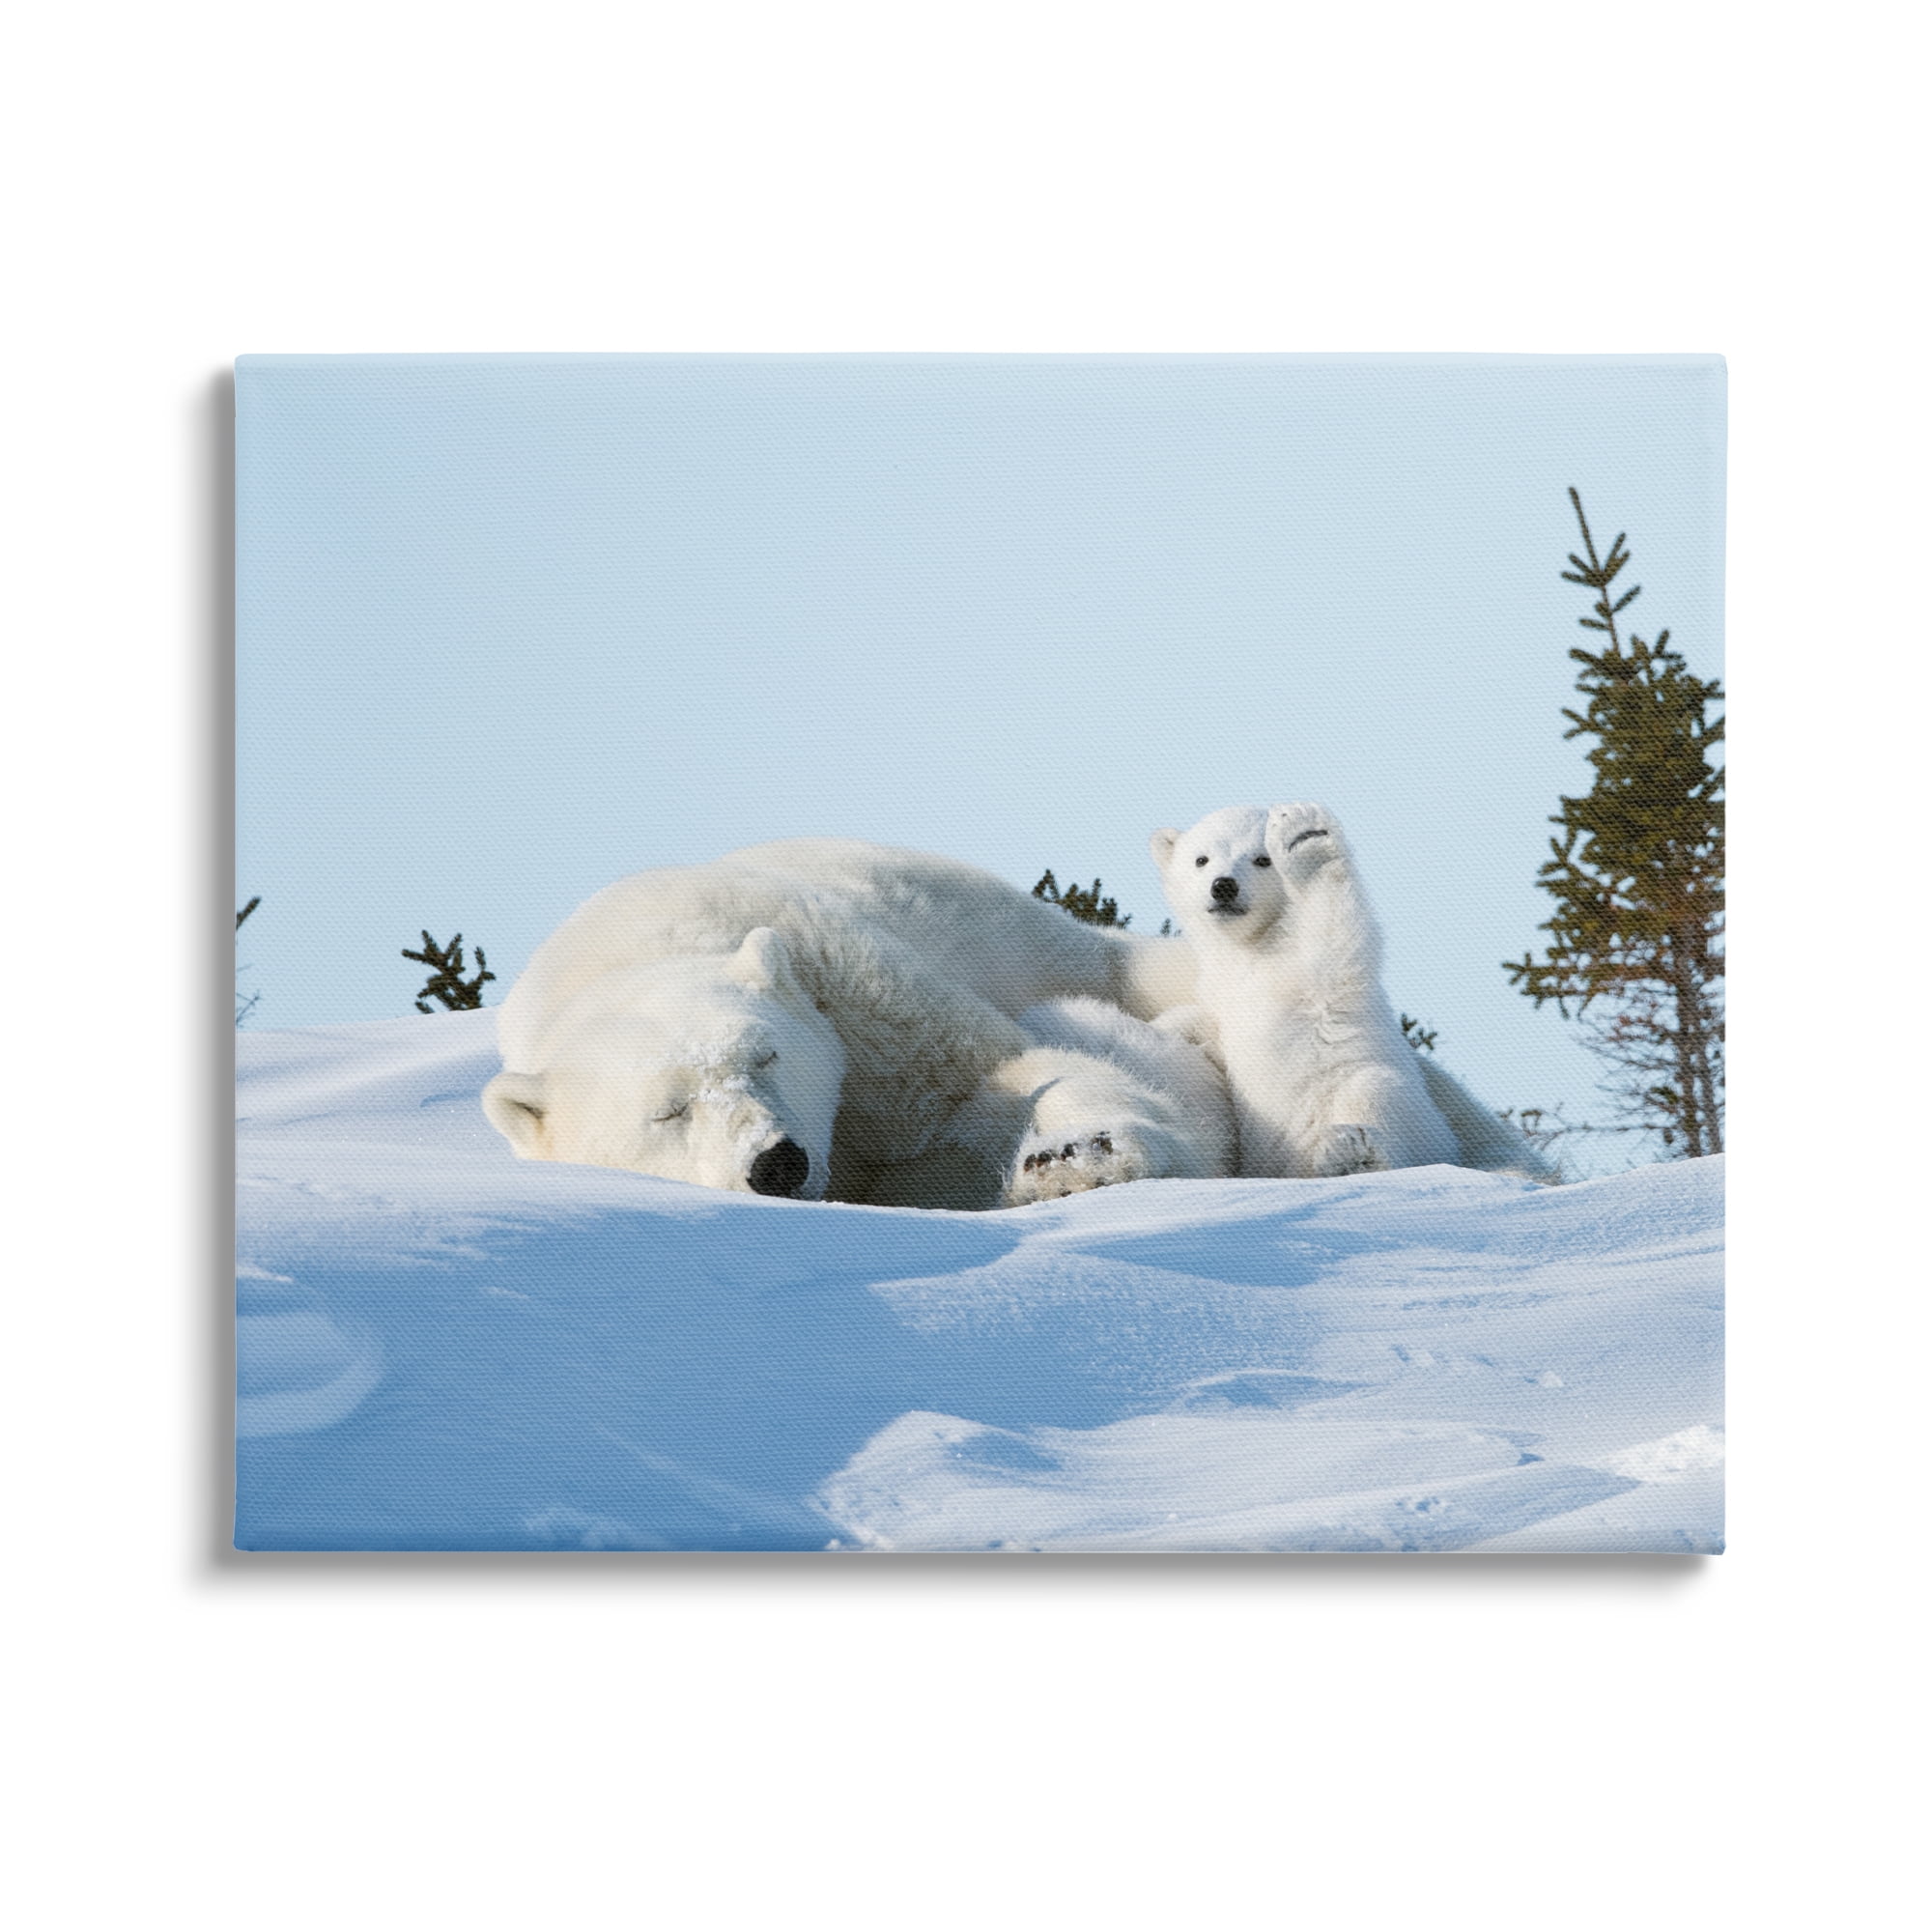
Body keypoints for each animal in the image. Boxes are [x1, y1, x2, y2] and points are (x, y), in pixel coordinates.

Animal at [483, 839, 1214, 1208]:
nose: (776, 1163)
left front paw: (1080, 1157)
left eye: (766, 1055)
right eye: (668, 1112)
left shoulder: (846, 990)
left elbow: (997, 1072)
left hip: (1044, 943)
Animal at [1150, 803, 1555, 1182]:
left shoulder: (1311, 973)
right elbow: (1207, 1024)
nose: (1223, 886)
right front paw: (1165, 1029)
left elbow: (1335, 937)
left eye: (1262, 859)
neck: (1254, 947)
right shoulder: (1220, 989)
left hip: (1406, 1115)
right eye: (1201, 859)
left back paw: (1352, 1153)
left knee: (1376, 1093)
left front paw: (1305, 837)